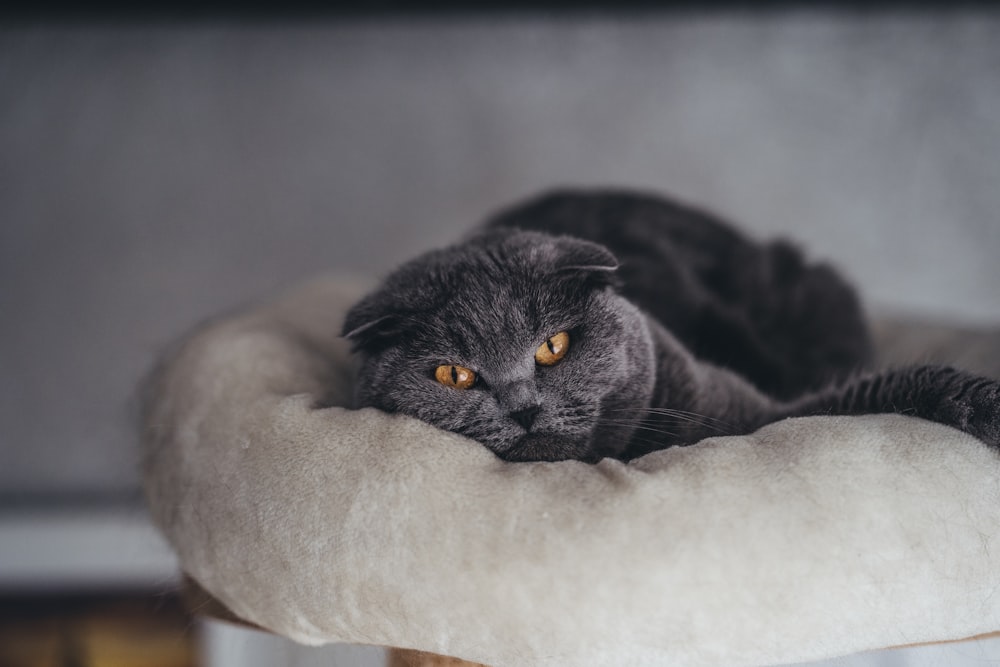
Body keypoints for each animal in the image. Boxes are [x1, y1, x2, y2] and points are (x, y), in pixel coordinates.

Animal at [344, 188, 1000, 460]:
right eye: (453, 375)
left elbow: (890, 386)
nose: (523, 407)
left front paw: (986, 405)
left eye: (553, 346)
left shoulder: (761, 412)